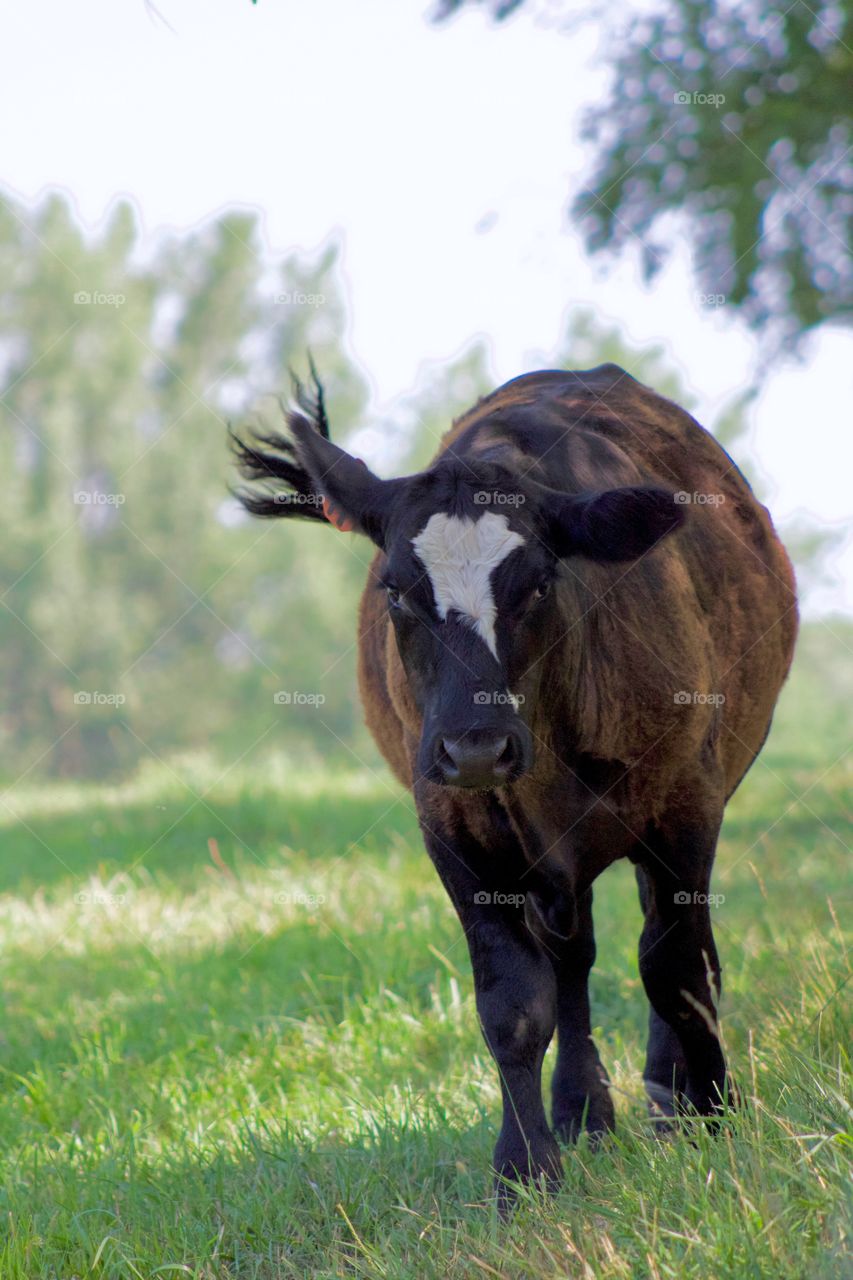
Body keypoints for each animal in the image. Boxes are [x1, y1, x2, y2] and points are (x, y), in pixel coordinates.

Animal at [230, 363, 788, 1208]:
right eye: (395, 590)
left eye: (537, 583)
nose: (476, 746)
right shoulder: (454, 827)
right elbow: (515, 1002)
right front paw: (525, 1168)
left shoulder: (685, 804)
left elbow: (677, 969)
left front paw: (714, 1118)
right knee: (572, 957)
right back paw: (584, 1111)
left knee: (665, 946)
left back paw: (668, 1098)